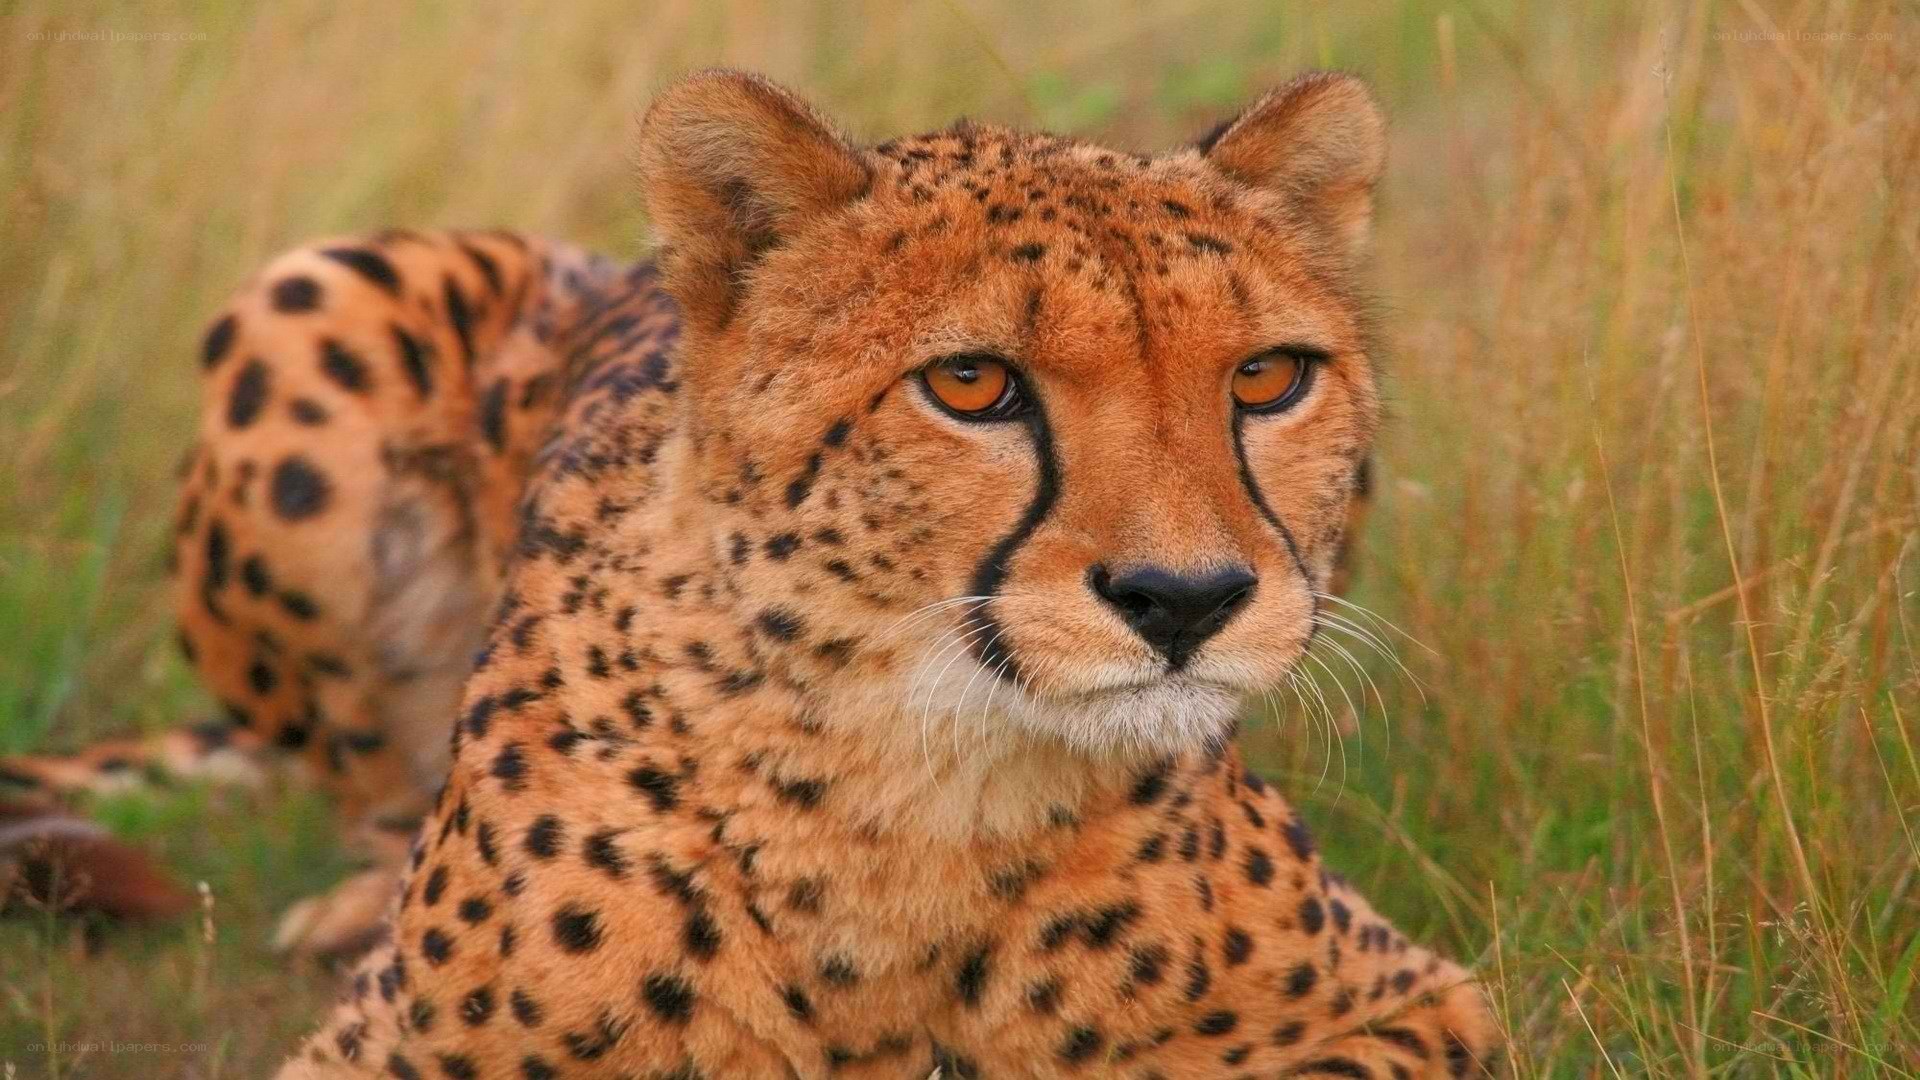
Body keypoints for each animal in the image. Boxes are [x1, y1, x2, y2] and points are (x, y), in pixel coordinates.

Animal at [22, 67, 1500, 1077]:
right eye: (973, 384)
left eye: (1268, 378)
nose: (1185, 601)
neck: (912, 782)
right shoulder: (382, 1054)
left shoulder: (1415, 1002)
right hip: (309, 296)